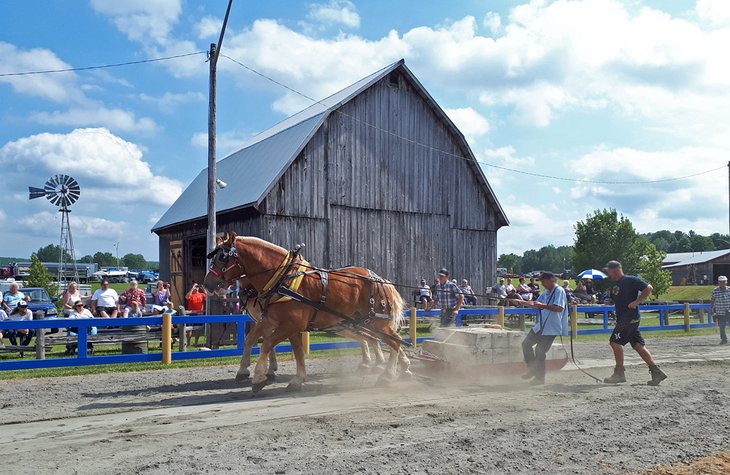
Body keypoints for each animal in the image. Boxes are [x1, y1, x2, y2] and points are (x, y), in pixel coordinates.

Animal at [203, 233, 410, 394]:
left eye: (222, 258)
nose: (207, 284)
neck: (282, 279)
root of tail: (381, 280)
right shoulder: (276, 322)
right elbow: (265, 343)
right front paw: (294, 379)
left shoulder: (289, 325)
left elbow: (267, 344)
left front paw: (259, 376)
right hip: (357, 323)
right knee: (382, 340)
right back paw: (397, 367)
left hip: (376, 323)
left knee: (394, 341)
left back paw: (389, 374)